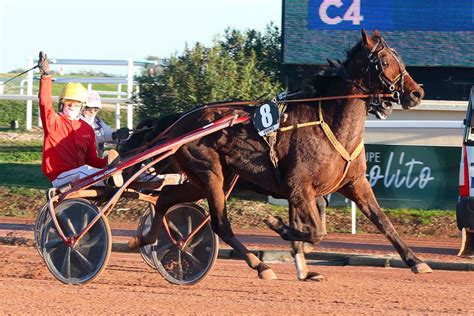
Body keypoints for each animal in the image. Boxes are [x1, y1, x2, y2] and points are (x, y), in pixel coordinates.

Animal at [128, 30, 432, 280]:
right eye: (384, 61)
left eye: (399, 58)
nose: (417, 92)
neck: (329, 122)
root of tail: (180, 121)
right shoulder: (298, 187)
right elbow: (316, 231)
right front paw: (279, 226)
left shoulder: (355, 183)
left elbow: (383, 222)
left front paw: (416, 261)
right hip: (209, 173)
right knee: (219, 223)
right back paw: (259, 264)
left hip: (207, 179)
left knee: (166, 198)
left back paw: (146, 240)